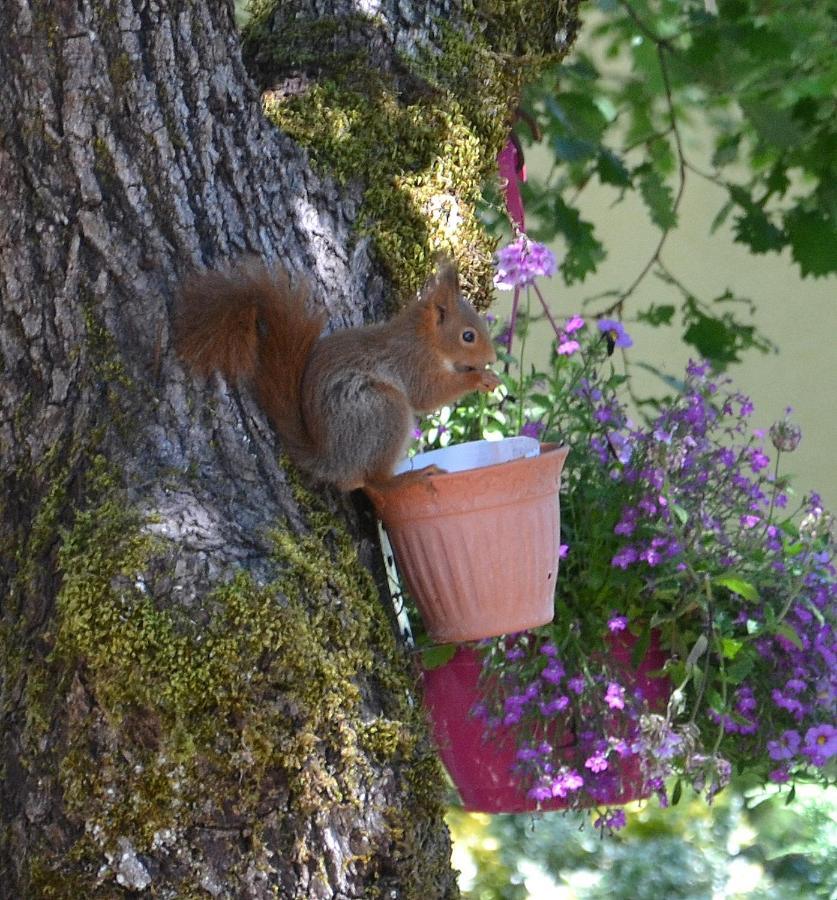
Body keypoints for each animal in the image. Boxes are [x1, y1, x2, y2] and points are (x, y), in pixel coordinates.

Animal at [174, 256, 500, 488]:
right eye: (468, 336)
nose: (493, 358)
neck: (425, 339)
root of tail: (332, 460)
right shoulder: (412, 364)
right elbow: (428, 395)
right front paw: (478, 378)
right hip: (383, 409)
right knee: (374, 482)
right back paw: (409, 478)